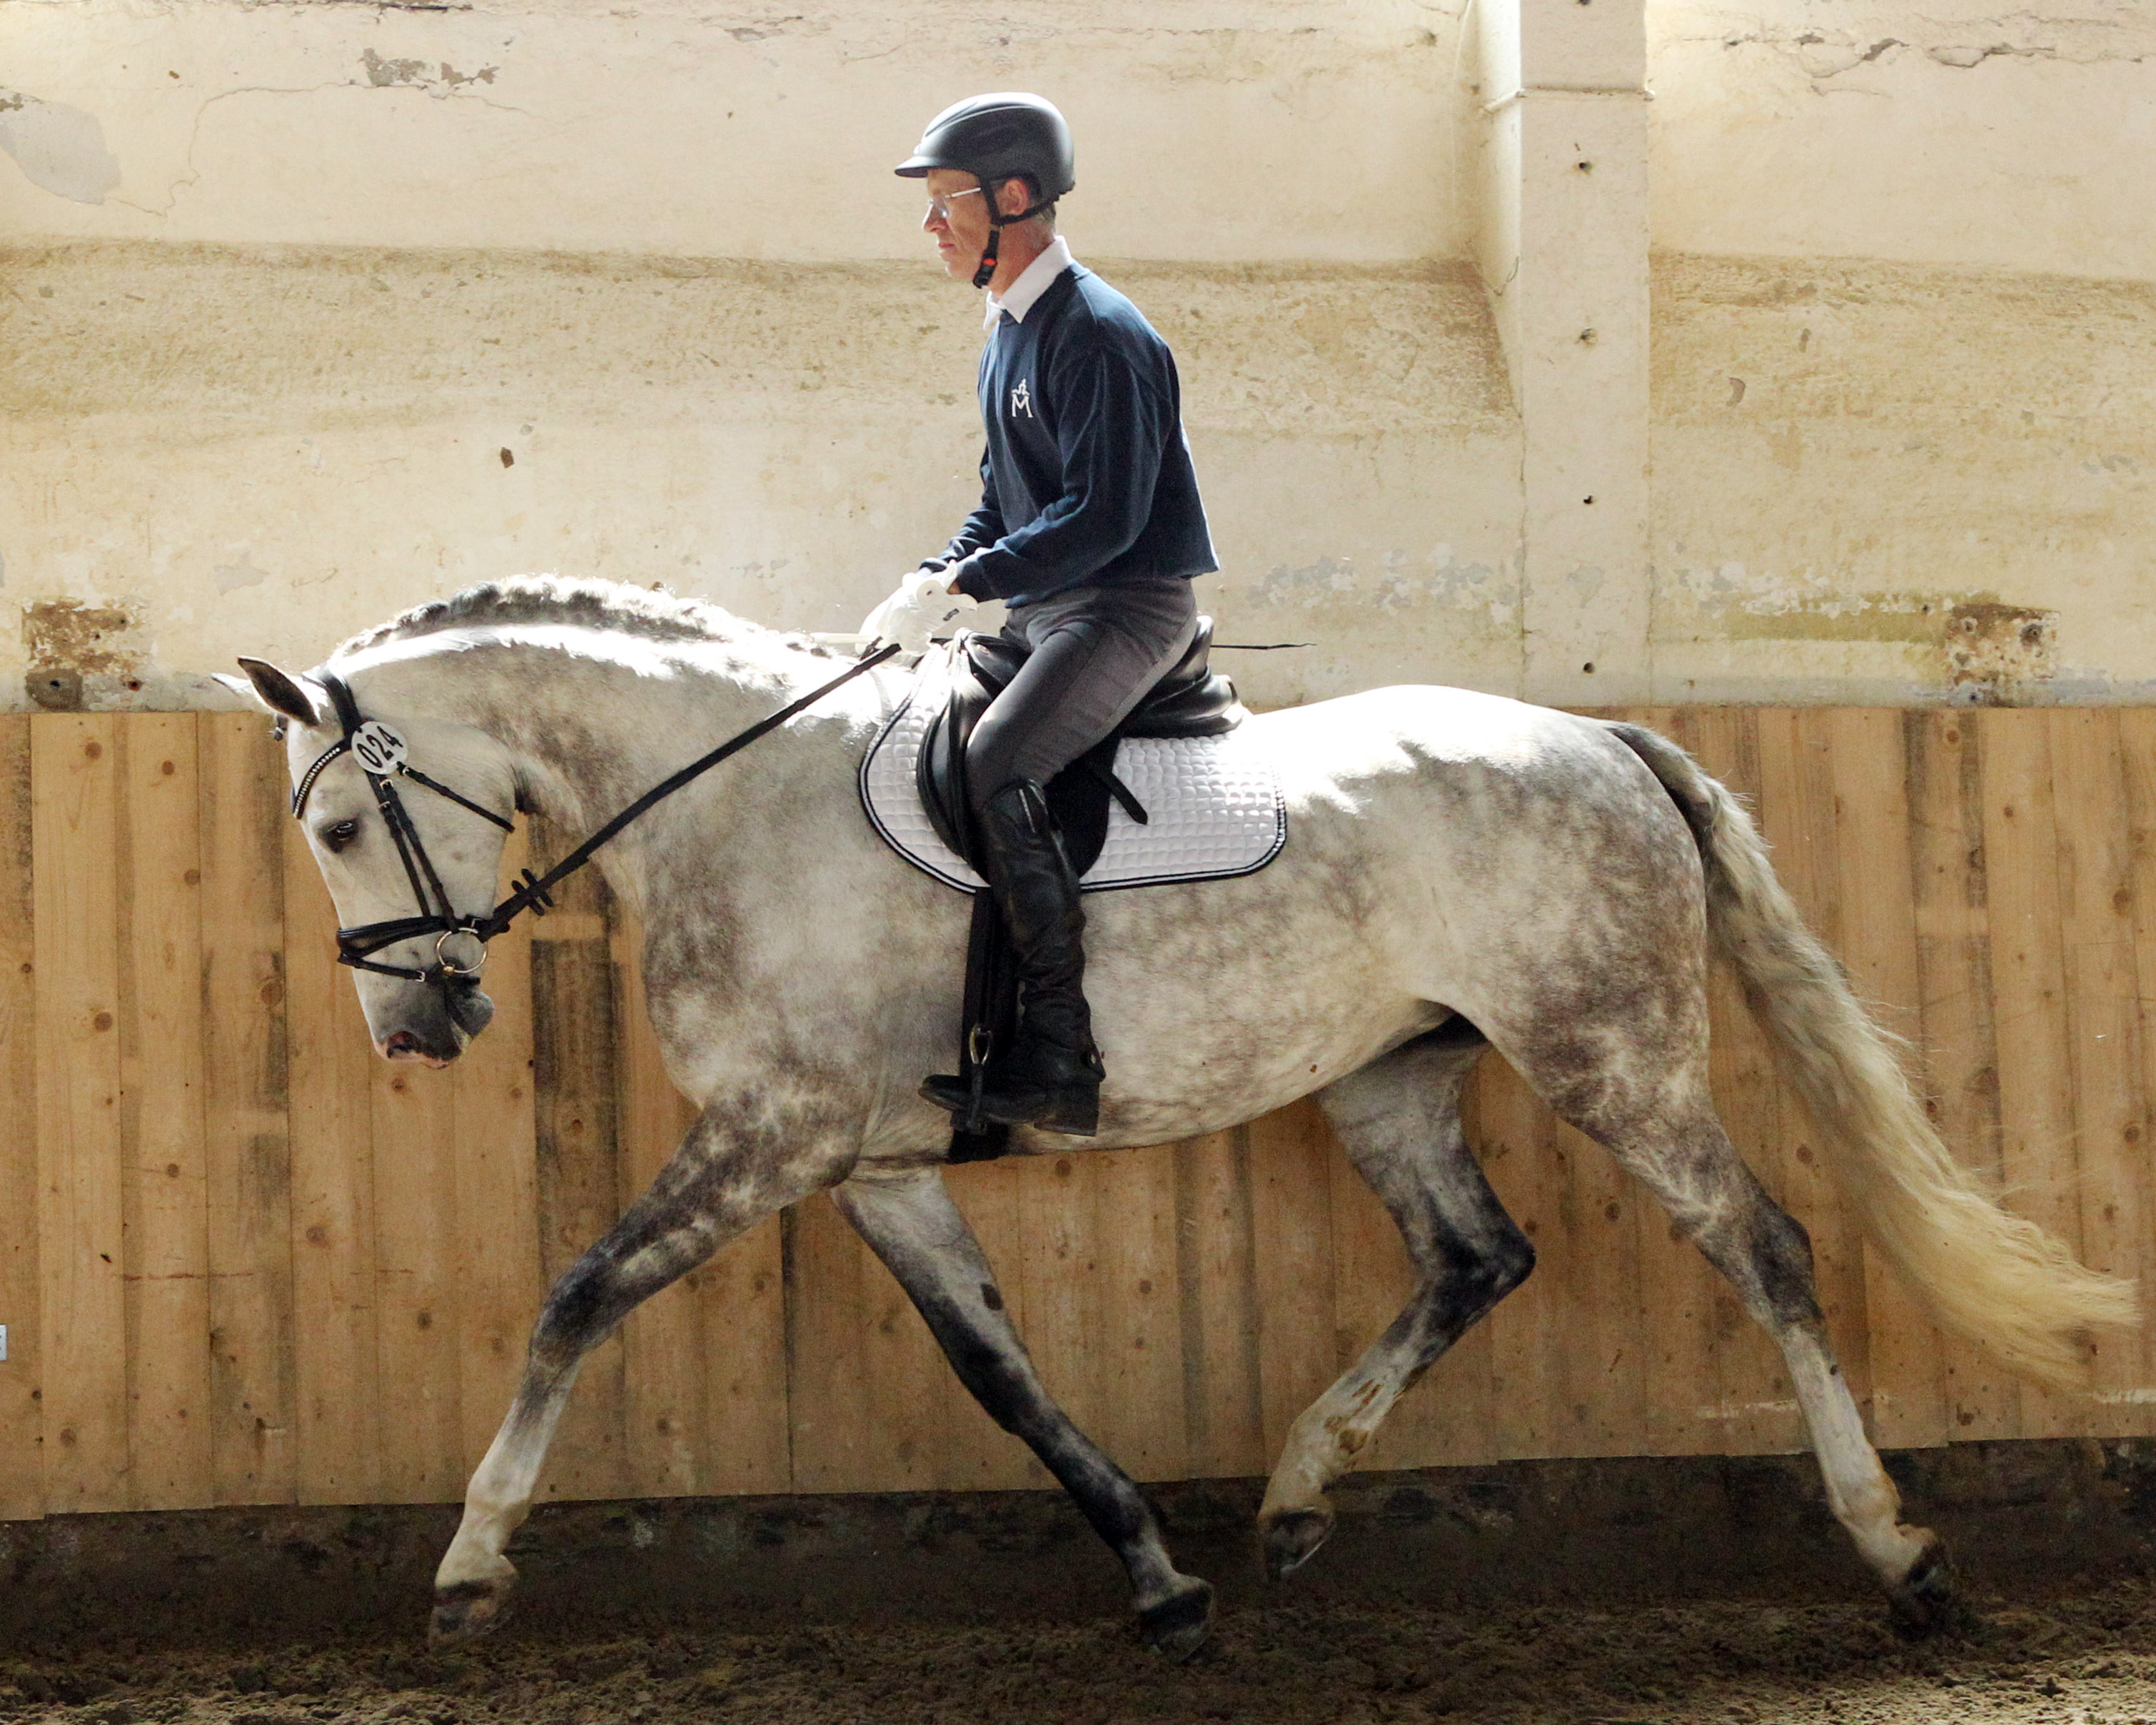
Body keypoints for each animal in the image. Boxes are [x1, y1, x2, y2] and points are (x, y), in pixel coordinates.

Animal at [227, 578, 2130, 1656]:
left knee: (1765, 1246)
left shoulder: (771, 1134)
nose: (419, 1023)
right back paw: (1290, 1499)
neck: (730, 797)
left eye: (337, 827)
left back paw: (1898, 1551)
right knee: (1476, 1258)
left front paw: (469, 1572)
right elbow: (999, 1372)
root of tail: (1601, 738)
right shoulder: (872, 1167)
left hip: (1610, 1051)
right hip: (1392, 1071)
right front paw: (1157, 1577)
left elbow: (574, 1299)